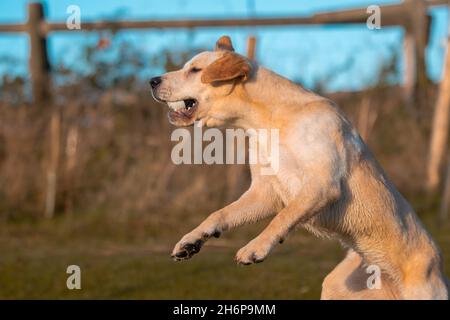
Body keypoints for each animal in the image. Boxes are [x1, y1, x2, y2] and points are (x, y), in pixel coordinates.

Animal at [150, 36, 446, 298]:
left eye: (195, 70)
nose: (152, 81)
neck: (269, 119)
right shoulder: (264, 193)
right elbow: (219, 214)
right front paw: (192, 240)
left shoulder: (321, 186)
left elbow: (284, 217)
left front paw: (256, 247)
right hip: (337, 286)